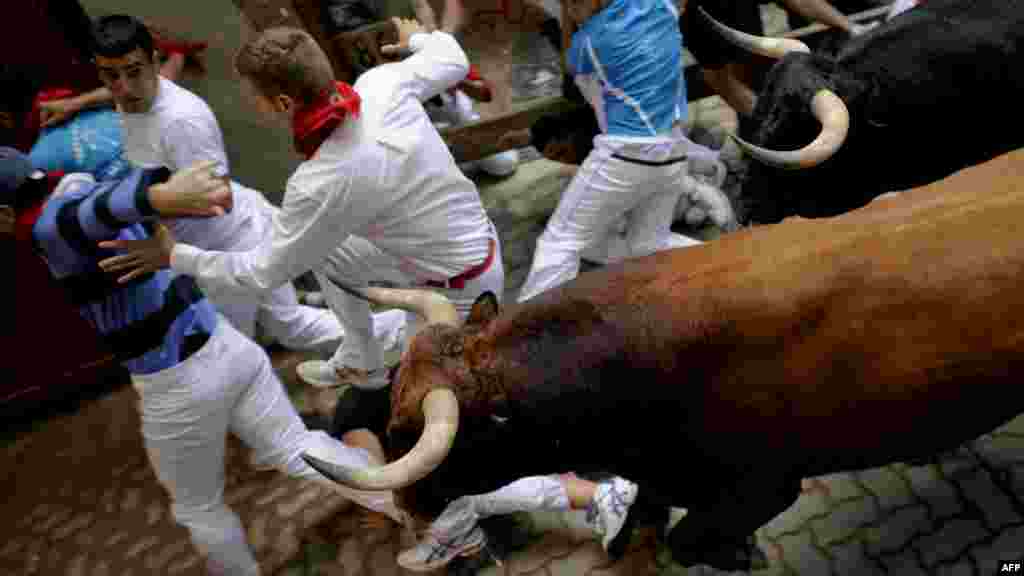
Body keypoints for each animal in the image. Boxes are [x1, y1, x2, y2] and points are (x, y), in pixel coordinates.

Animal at [303, 146, 1024, 565]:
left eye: (409, 431)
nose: (406, 507)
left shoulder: (764, 484)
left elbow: (681, 540)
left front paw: (737, 553)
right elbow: (648, 519)